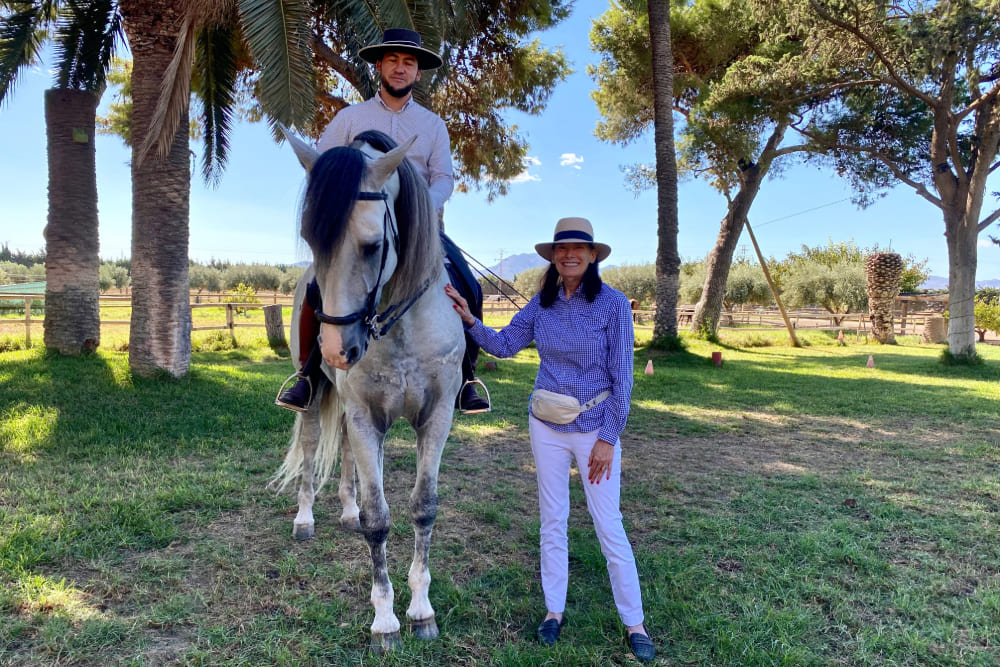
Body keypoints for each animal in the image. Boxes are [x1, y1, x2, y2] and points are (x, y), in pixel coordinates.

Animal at [270, 128, 464, 648]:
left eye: (373, 245)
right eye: (312, 240)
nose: (338, 350)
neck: (399, 326)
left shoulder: (436, 418)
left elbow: (423, 508)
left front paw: (422, 610)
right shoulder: (363, 416)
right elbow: (378, 521)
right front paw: (385, 619)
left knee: (347, 458)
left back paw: (346, 510)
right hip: (316, 397)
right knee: (313, 443)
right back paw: (306, 518)